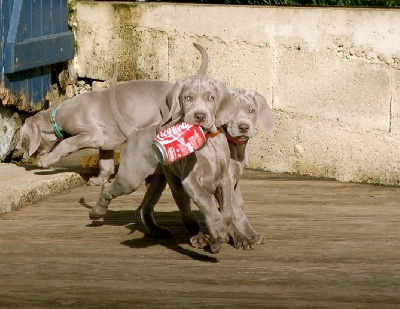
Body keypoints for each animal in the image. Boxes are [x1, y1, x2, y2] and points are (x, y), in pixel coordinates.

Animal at [21, 43, 208, 185]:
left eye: (27, 140)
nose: (34, 156)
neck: (57, 115)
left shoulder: (92, 134)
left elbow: (66, 144)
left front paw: (45, 162)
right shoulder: (105, 142)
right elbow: (106, 164)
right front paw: (99, 180)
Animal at [138, 87, 276, 250]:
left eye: (252, 110)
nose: (243, 127)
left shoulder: (233, 183)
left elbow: (238, 207)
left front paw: (250, 233)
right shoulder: (227, 179)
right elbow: (234, 211)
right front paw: (242, 238)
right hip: (175, 182)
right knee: (187, 211)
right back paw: (199, 237)